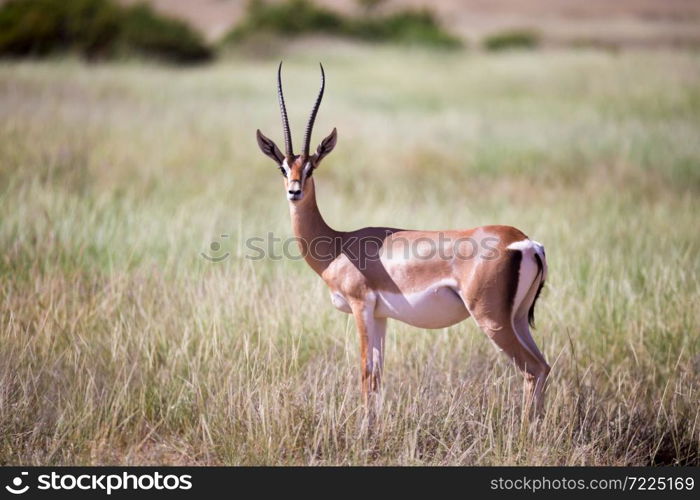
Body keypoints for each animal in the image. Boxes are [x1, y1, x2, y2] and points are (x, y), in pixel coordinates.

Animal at [258, 62, 552, 414]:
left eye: (311, 168)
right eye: (282, 168)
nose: (294, 191)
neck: (338, 246)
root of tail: (525, 242)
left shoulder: (361, 307)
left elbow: (365, 375)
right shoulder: (381, 316)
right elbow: (377, 377)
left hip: (491, 320)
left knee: (531, 369)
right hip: (518, 319)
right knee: (544, 366)